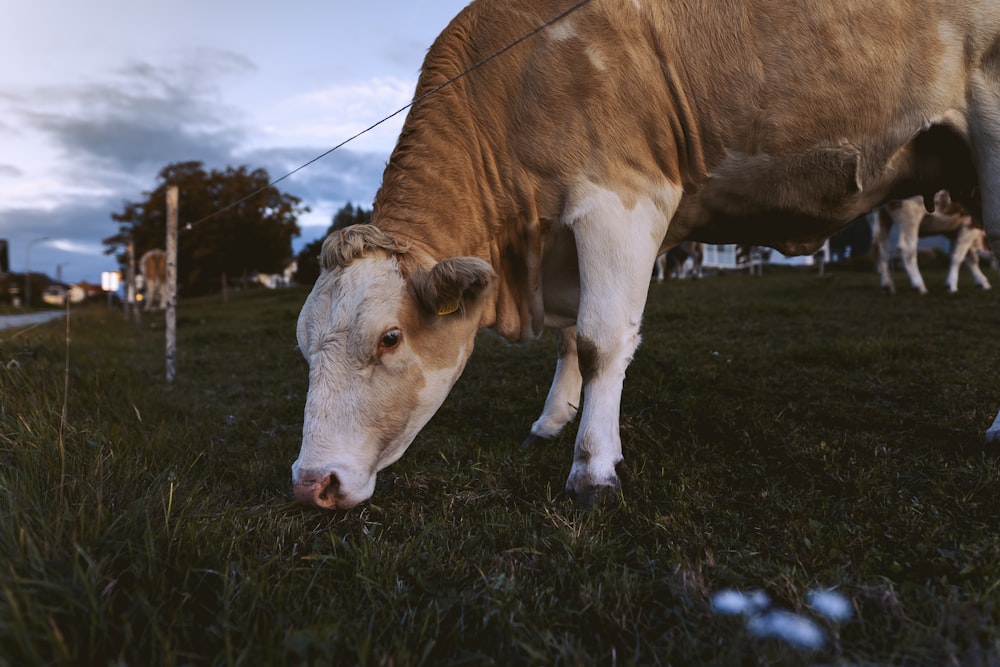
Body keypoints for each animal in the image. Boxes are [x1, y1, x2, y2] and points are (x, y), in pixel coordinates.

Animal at [292, 0, 1000, 512]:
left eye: (389, 338)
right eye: (302, 346)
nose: (310, 483)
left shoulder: (621, 196)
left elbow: (601, 339)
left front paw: (594, 468)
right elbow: (570, 338)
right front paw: (551, 422)